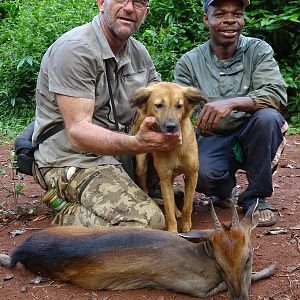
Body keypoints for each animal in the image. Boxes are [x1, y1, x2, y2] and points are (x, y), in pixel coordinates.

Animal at [130, 82, 207, 232]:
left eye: (179, 105)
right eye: (159, 105)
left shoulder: (192, 175)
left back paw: (178, 212)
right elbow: (169, 209)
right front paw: (172, 230)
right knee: (147, 189)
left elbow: (188, 205)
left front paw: (186, 224)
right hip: (141, 167)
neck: (175, 148)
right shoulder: (165, 177)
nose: (171, 127)